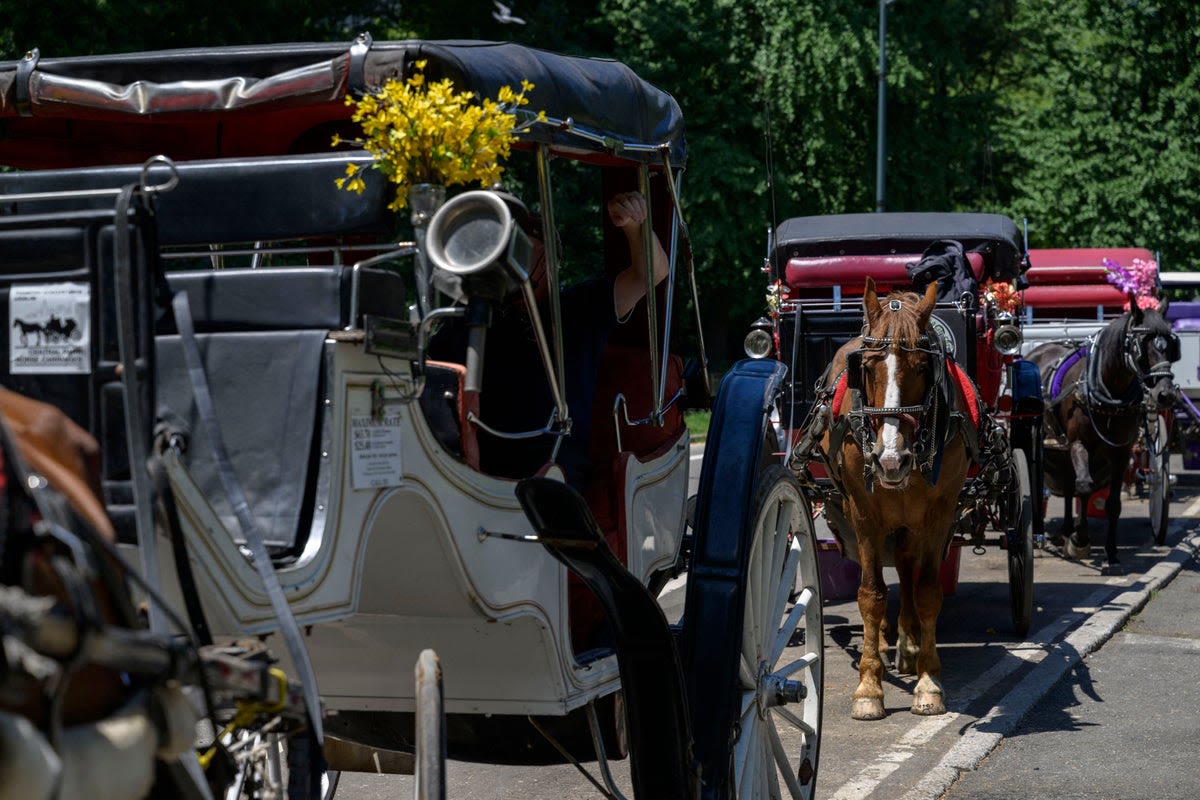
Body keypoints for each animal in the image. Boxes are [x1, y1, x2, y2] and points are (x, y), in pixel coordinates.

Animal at [816, 278, 974, 724]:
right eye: (867, 369)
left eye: (923, 368)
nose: (890, 459)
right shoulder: (864, 512)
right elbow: (871, 595)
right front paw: (869, 687)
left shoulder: (939, 512)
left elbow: (926, 592)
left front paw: (928, 681)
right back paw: (891, 645)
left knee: (906, 569)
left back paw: (908, 644)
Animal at [1022, 297, 1180, 573]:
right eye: (1141, 344)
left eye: (1170, 345)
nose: (1166, 394)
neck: (1109, 393)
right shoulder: (1079, 443)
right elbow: (1085, 486)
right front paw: (1080, 540)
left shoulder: (1121, 452)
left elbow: (1111, 504)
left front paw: (1110, 552)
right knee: (1058, 483)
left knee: (1069, 482)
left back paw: (1067, 529)